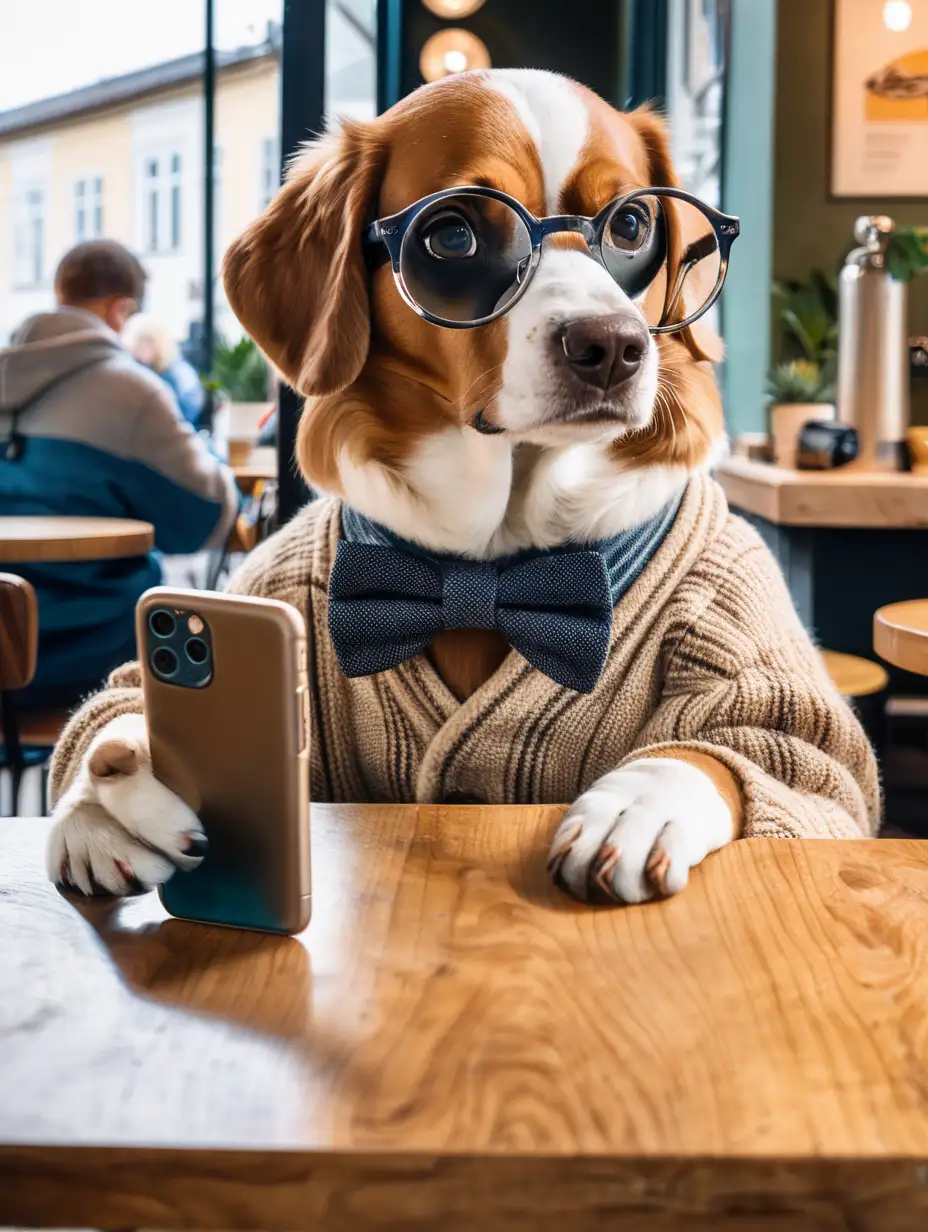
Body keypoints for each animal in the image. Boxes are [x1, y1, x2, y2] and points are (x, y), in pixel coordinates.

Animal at [47, 69, 877, 906]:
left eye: (632, 223)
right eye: (453, 237)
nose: (613, 347)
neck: (488, 566)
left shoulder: (744, 643)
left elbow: (761, 755)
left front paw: (639, 801)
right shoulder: (270, 593)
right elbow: (122, 701)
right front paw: (109, 795)